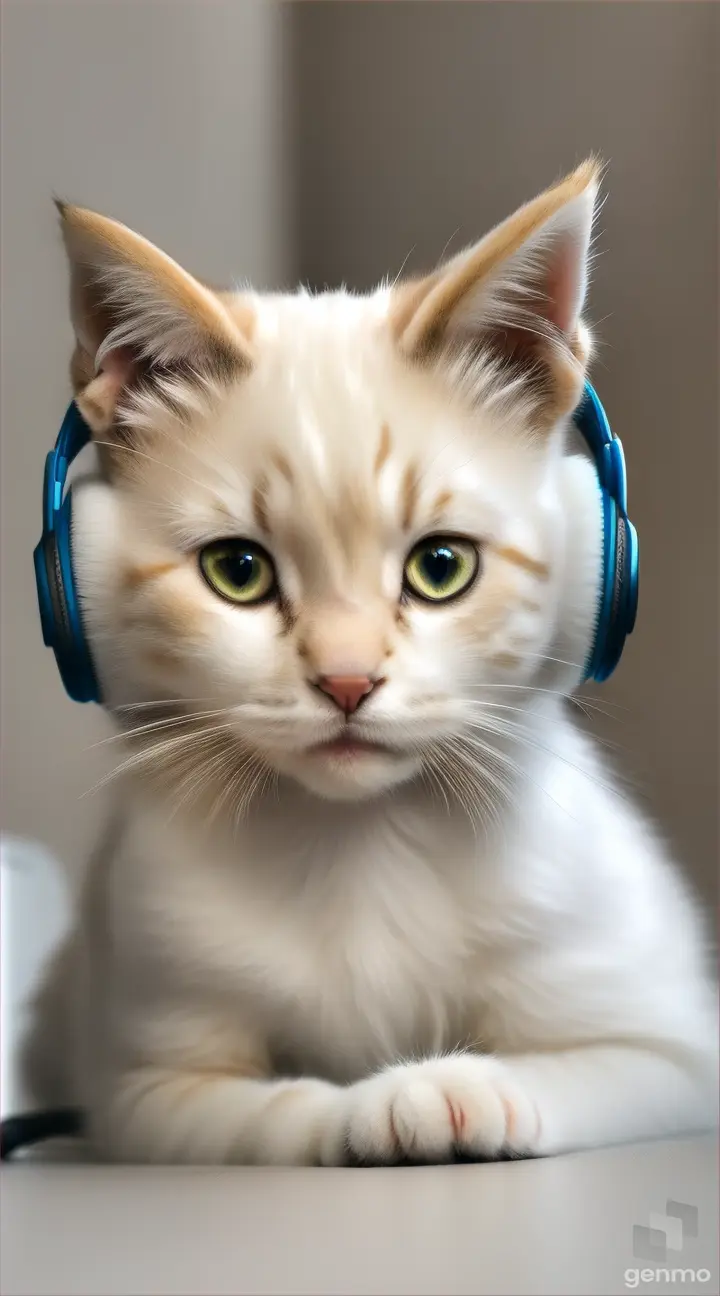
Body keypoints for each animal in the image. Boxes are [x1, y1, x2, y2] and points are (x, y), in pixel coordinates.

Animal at [22, 162, 714, 1166]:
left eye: (441, 567)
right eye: (238, 572)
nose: (346, 683)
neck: (359, 849)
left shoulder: (671, 1049)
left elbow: (572, 1073)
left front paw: (457, 1087)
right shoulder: (144, 1083)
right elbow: (263, 1115)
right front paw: (364, 1109)